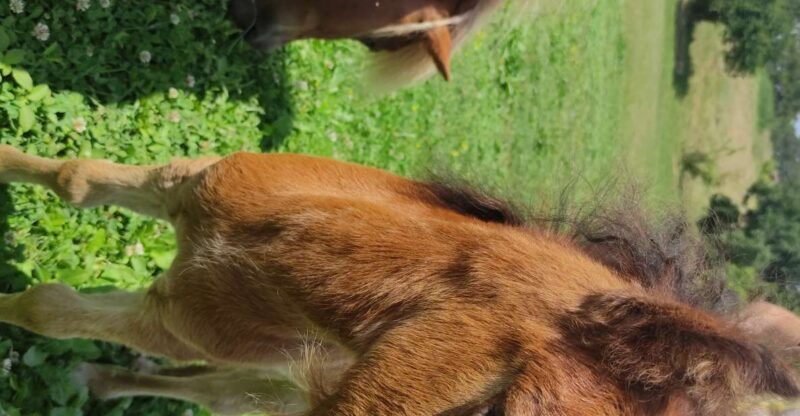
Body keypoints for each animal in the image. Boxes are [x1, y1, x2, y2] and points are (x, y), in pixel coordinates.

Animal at [0, 144, 798, 415]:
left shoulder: (167, 320)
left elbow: (41, 308)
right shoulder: (187, 181)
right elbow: (71, 179)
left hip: (275, 380)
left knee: (217, 392)